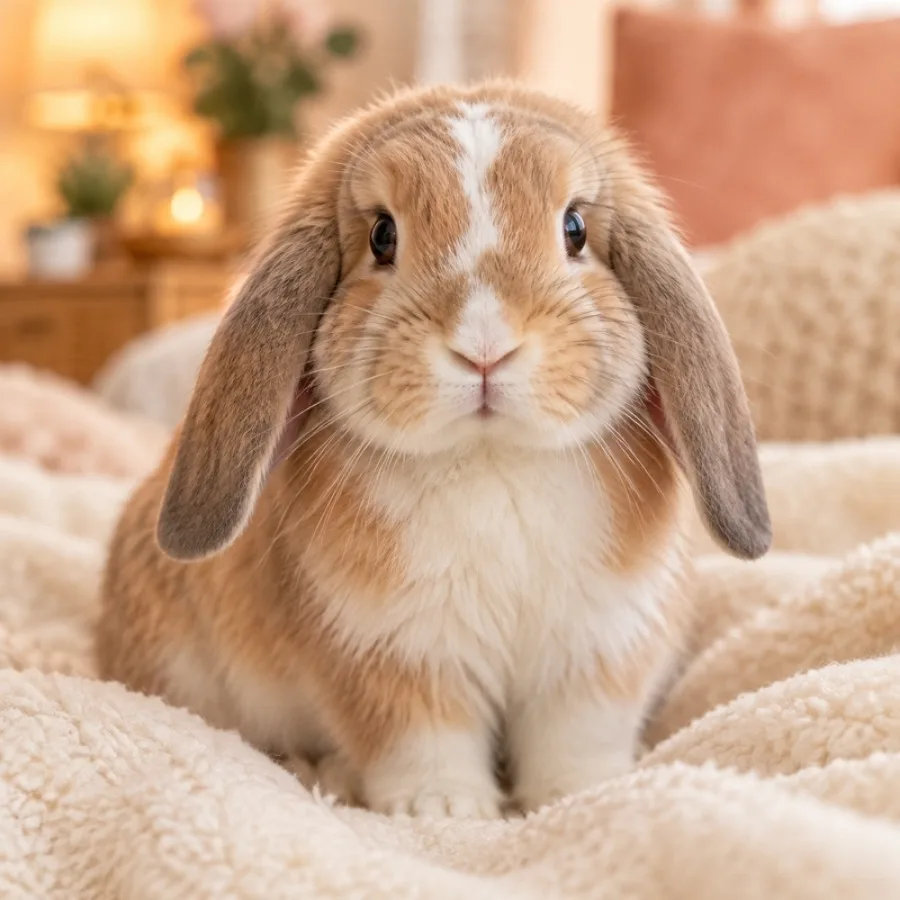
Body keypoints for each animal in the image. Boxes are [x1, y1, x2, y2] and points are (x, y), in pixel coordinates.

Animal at [96, 81, 770, 819]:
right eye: (382, 235)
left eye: (575, 229)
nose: (484, 346)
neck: (492, 462)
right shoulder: (390, 654)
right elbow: (421, 738)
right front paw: (445, 811)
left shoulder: (597, 651)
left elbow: (576, 739)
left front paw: (573, 796)